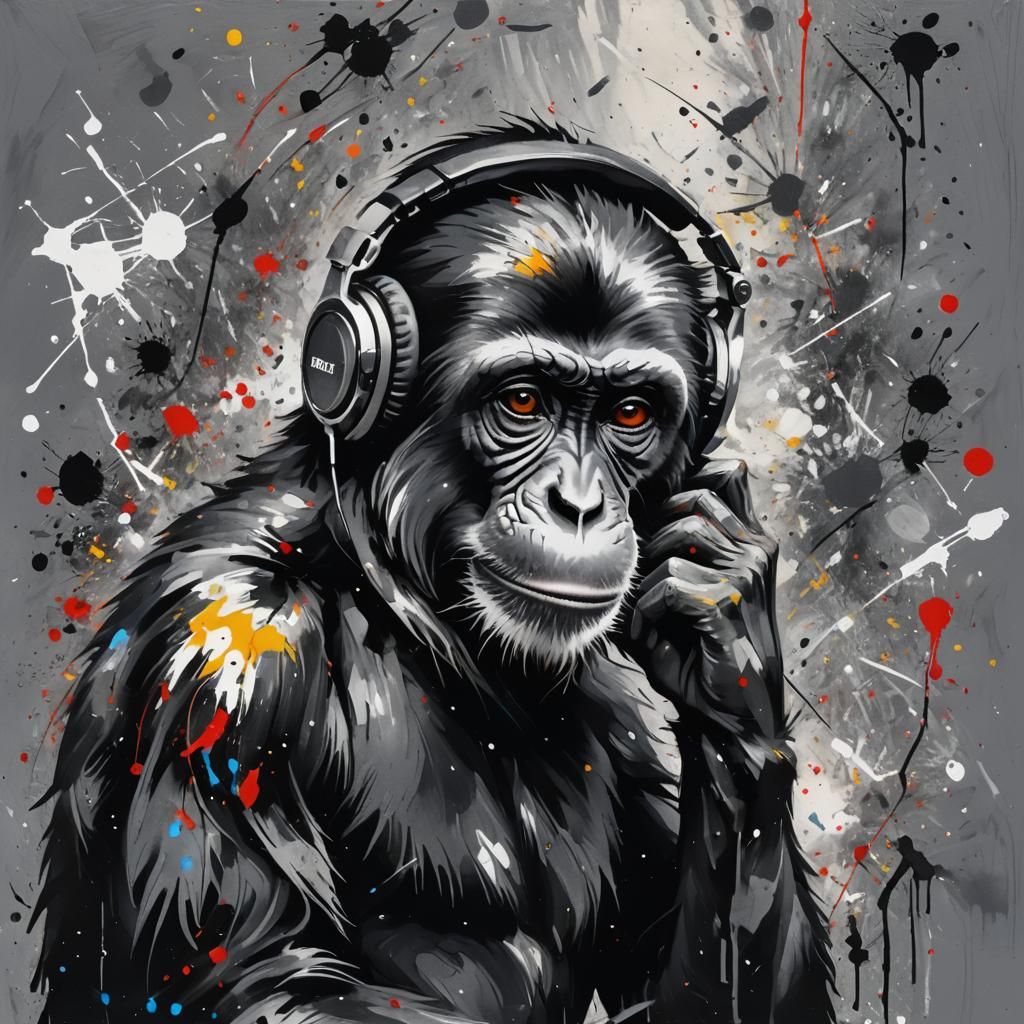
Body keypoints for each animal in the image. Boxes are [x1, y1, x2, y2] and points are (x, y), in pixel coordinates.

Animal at [32, 128, 834, 1024]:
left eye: (631, 413)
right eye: (522, 401)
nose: (579, 505)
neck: (403, 605)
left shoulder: (621, 724)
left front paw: (724, 610)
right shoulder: (228, 660)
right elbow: (259, 986)